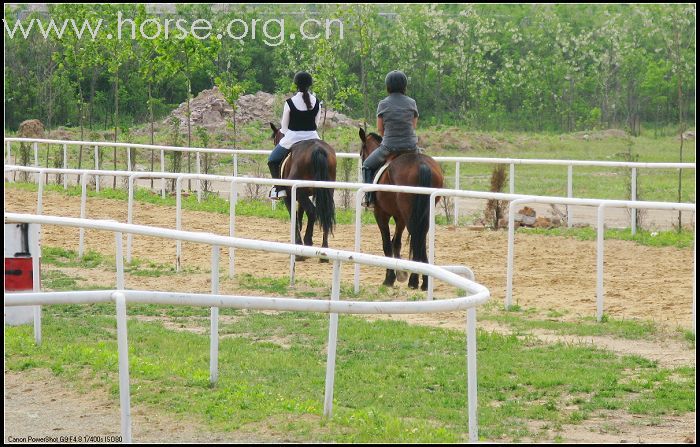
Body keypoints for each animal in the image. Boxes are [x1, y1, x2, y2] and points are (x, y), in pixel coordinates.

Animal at [268, 122, 336, 258]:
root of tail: (318, 149)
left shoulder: (290, 195)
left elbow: (294, 215)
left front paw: (298, 243)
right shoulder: (303, 194)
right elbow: (300, 213)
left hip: (299, 192)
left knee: (312, 211)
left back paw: (307, 243)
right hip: (326, 191)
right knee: (324, 213)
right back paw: (324, 250)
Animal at [360, 129, 442, 290]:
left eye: (361, 153)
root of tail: (421, 164)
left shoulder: (381, 214)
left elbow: (387, 244)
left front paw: (390, 278)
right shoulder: (400, 217)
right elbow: (396, 243)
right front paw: (401, 274)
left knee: (416, 237)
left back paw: (414, 281)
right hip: (422, 213)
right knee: (421, 239)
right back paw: (424, 282)